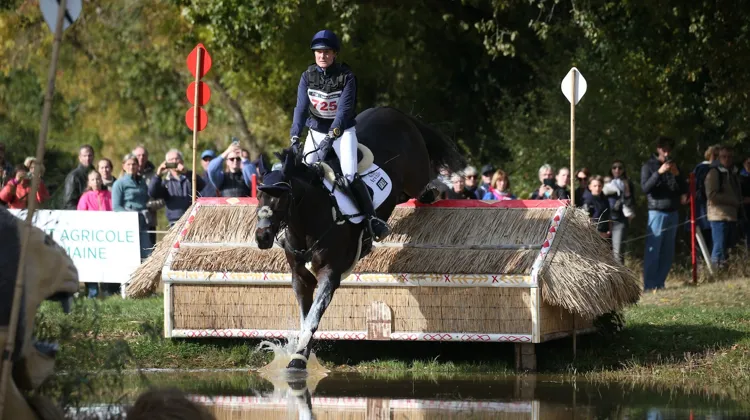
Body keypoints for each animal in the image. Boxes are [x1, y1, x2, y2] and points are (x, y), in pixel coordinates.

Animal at [255, 106, 465, 370]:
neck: (309, 223)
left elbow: (313, 317)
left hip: (415, 178)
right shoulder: (300, 277)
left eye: (282, 197)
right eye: (259, 196)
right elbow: (306, 316)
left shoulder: (330, 274)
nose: (262, 237)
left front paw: (298, 359)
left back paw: (435, 191)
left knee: (425, 187)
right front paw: (301, 353)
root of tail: (393, 112)